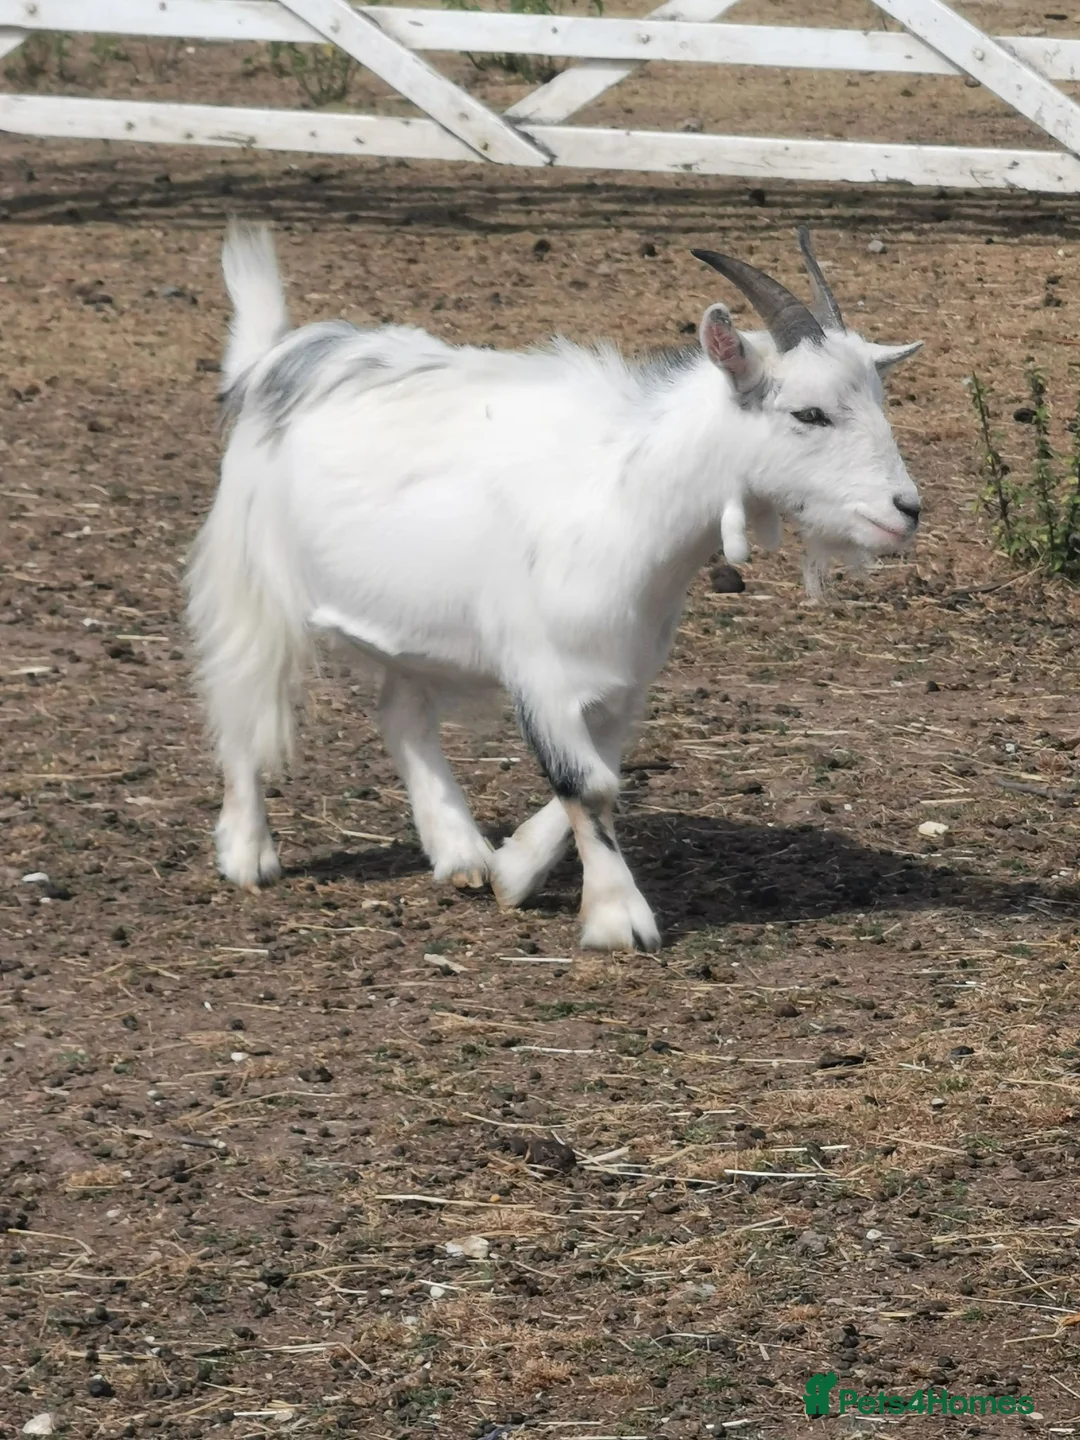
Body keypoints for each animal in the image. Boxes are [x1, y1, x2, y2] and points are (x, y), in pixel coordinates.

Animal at [187, 223, 922, 952]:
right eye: (809, 413)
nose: (906, 509)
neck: (622, 494)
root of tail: (275, 361)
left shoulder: (620, 679)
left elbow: (605, 773)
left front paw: (514, 870)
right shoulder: (542, 669)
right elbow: (587, 786)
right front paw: (618, 919)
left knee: (401, 712)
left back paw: (461, 853)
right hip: (253, 586)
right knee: (242, 700)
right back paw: (248, 854)